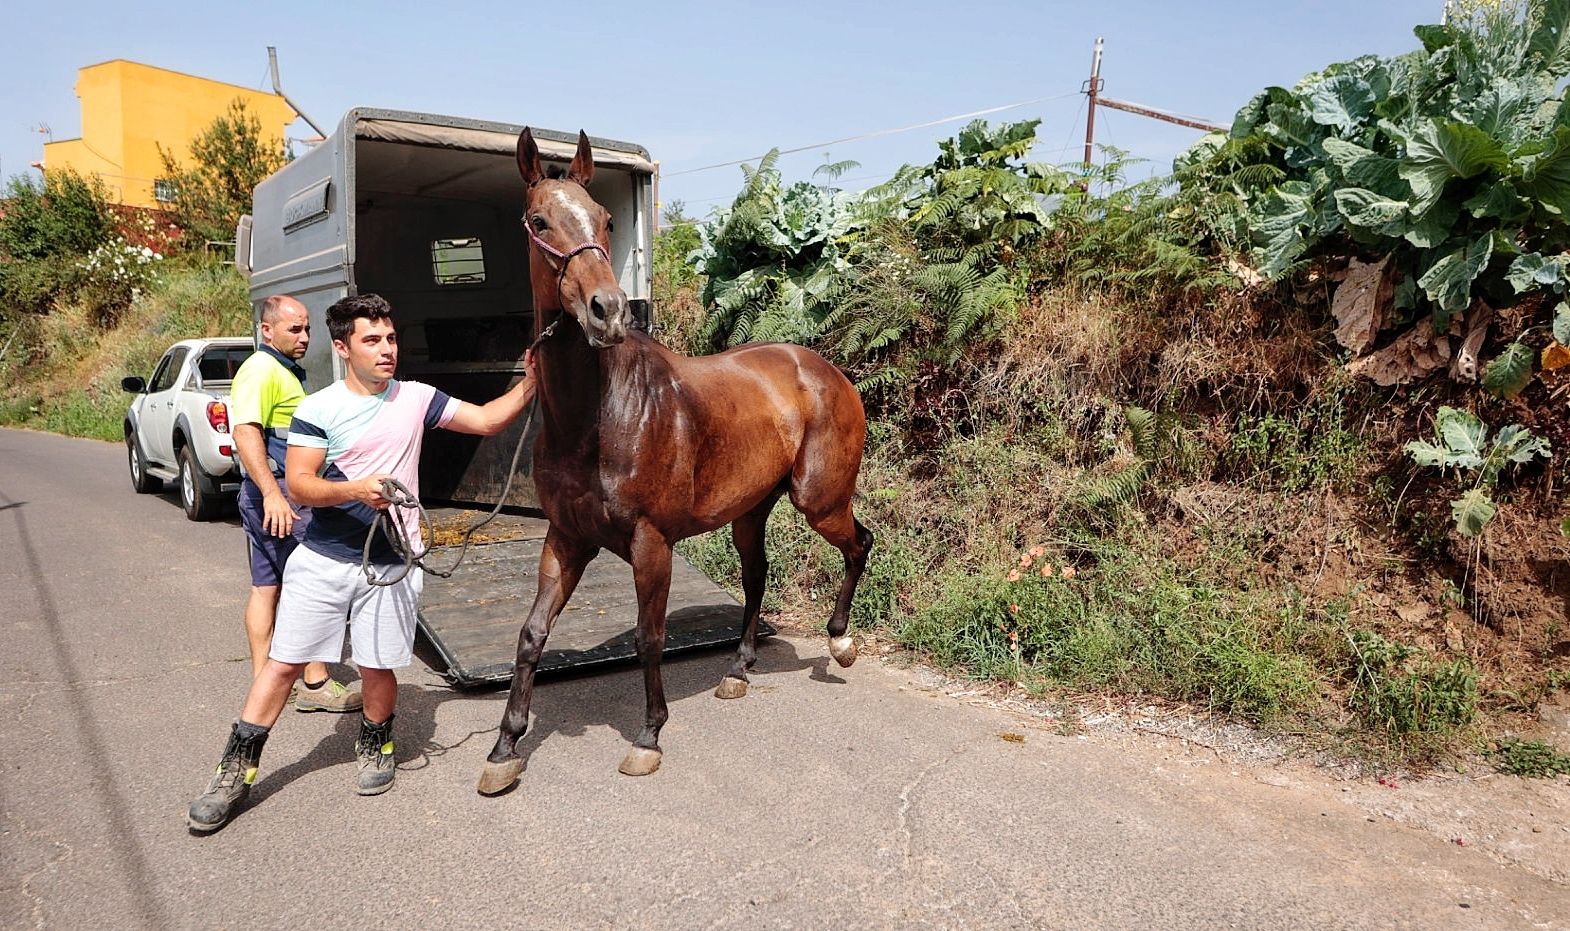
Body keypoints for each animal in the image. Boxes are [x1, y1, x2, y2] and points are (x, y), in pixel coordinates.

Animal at [474, 128, 872, 791]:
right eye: (539, 221)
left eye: (606, 219)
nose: (608, 310)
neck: (599, 416)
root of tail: (826, 370)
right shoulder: (565, 538)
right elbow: (532, 634)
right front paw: (505, 748)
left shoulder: (650, 542)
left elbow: (649, 637)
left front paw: (648, 736)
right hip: (750, 511)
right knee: (757, 575)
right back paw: (738, 670)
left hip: (819, 500)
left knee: (859, 543)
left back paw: (840, 644)